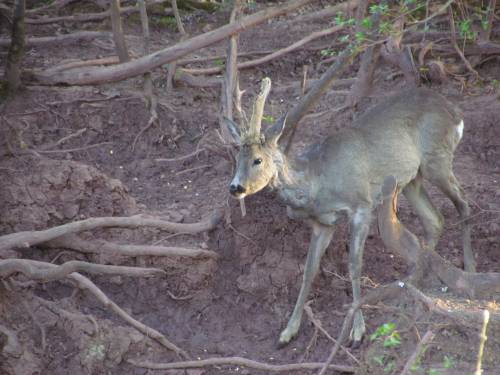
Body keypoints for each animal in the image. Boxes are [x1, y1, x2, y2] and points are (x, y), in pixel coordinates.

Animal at [225, 78, 474, 346]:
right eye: (237, 158)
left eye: (257, 160)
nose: (235, 187)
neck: (316, 181)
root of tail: (456, 112)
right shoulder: (323, 224)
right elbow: (309, 270)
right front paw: (288, 331)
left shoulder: (361, 207)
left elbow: (354, 265)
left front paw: (357, 330)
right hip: (411, 179)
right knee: (434, 219)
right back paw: (415, 276)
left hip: (436, 158)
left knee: (463, 204)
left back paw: (469, 269)